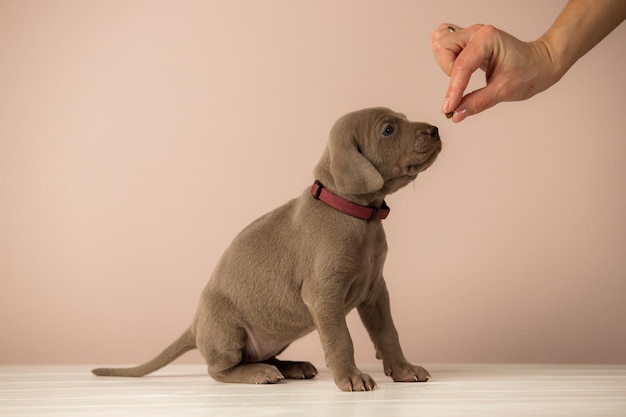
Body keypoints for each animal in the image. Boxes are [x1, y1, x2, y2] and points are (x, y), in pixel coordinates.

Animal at [94, 106, 444, 390]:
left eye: (404, 119)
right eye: (388, 130)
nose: (435, 129)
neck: (355, 213)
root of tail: (194, 326)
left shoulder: (375, 292)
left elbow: (388, 333)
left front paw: (403, 369)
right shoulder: (324, 295)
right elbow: (341, 340)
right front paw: (350, 377)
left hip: (275, 333)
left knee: (259, 356)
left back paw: (290, 366)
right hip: (228, 331)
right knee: (220, 369)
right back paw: (258, 374)